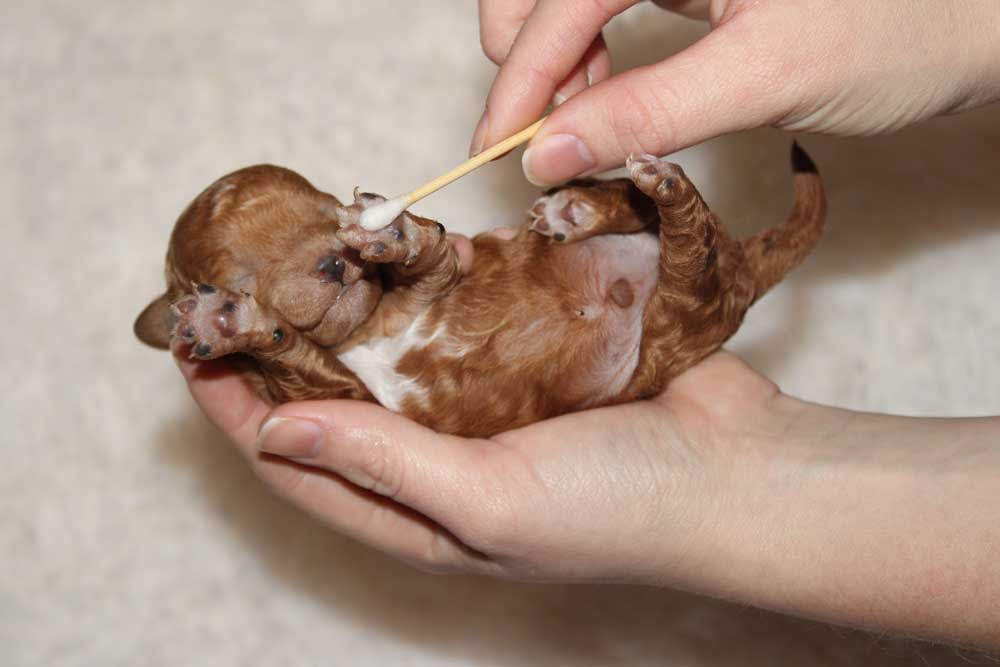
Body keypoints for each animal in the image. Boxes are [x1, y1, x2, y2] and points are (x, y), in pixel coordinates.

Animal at [137, 146, 824, 438]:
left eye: (326, 210)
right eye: (242, 274)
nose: (335, 260)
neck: (370, 327)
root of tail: (743, 266)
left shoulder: (439, 280)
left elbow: (436, 260)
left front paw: (392, 233)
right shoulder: (336, 394)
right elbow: (290, 353)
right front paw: (230, 323)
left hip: (689, 304)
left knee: (680, 228)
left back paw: (601, 202)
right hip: (684, 316)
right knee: (686, 247)